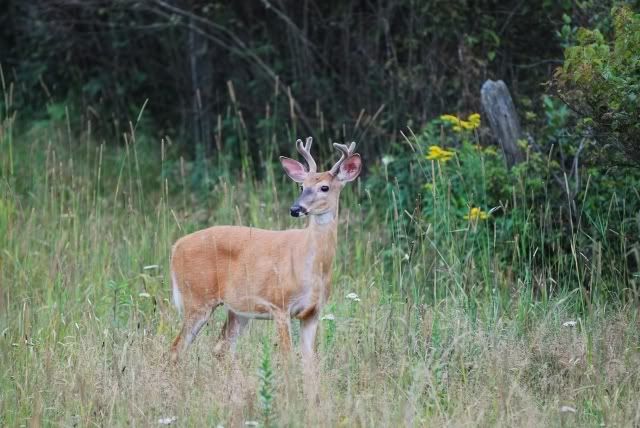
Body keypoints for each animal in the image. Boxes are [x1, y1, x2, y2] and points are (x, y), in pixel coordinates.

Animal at [169, 136, 360, 362]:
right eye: (301, 186)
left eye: (324, 187)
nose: (295, 209)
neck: (313, 267)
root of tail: (176, 246)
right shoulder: (279, 305)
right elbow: (288, 359)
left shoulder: (312, 313)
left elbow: (309, 361)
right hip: (197, 297)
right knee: (177, 348)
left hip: (238, 309)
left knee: (221, 347)